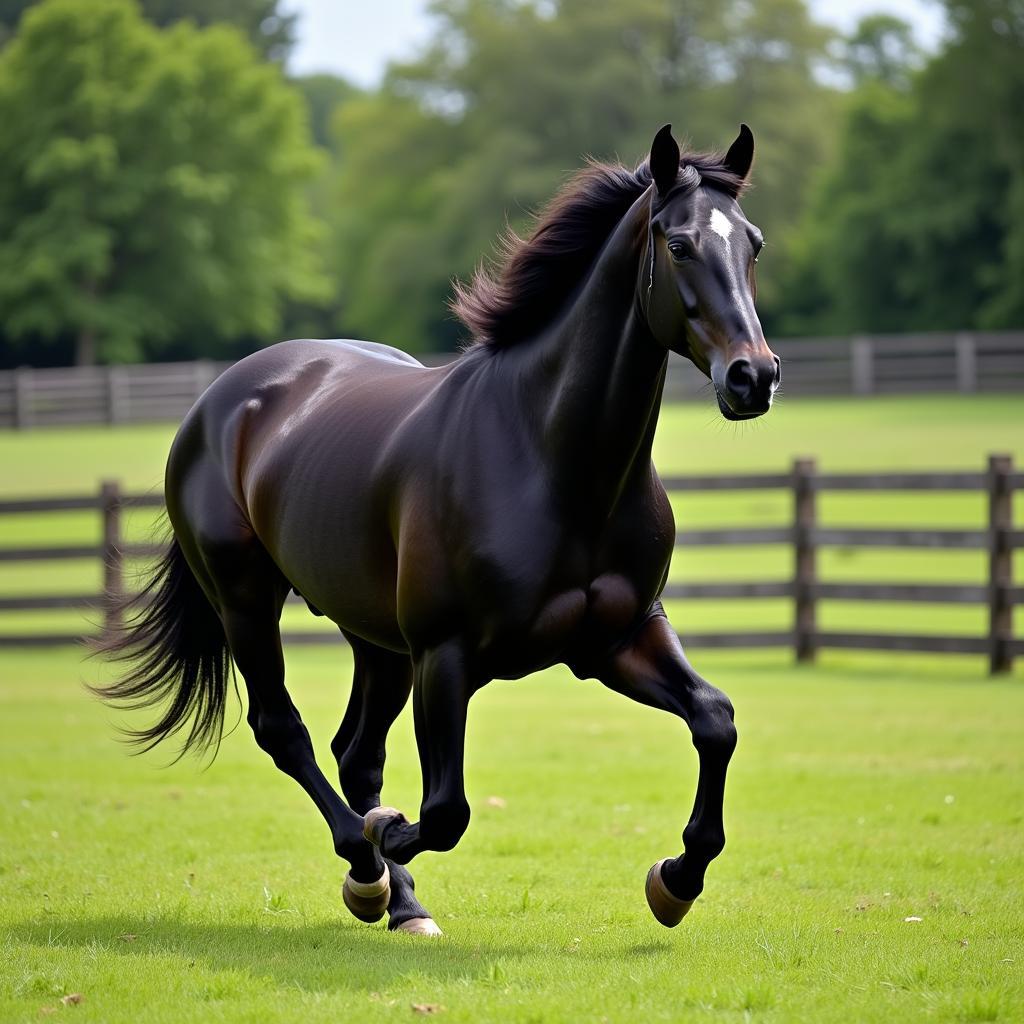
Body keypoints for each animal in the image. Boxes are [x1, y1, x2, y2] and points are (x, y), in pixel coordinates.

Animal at [99, 123, 778, 933]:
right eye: (678, 244)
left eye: (753, 243)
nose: (753, 377)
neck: (550, 458)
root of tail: (223, 400)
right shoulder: (445, 656)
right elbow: (445, 811)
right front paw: (385, 838)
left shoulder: (618, 638)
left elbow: (716, 719)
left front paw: (676, 880)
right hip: (247, 602)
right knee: (285, 731)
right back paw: (369, 872)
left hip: (375, 638)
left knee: (355, 752)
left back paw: (400, 900)